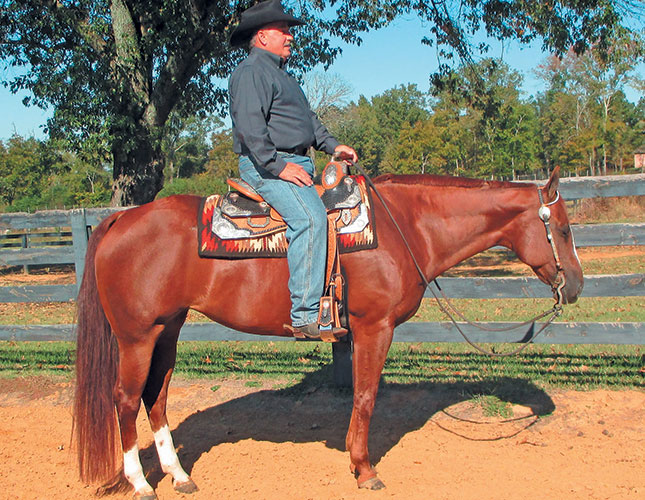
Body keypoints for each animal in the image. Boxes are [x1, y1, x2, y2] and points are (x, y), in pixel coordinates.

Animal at [73, 167, 580, 496]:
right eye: (562, 229)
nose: (574, 285)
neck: (405, 226)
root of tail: (123, 217)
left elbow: (360, 394)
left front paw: (357, 461)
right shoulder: (374, 327)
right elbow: (366, 396)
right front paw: (365, 469)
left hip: (168, 330)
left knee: (155, 397)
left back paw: (179, 476)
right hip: (136, 337)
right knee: (124, 399)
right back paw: (141, 483)